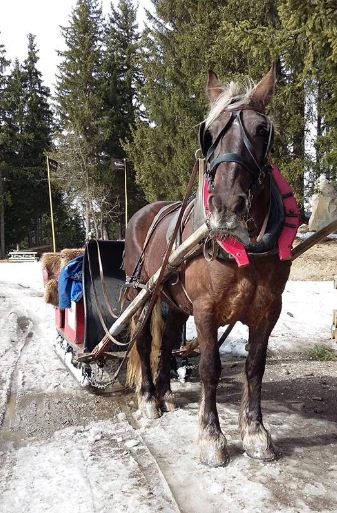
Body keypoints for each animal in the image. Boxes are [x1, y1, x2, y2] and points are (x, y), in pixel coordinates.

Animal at [122, 63, 292, 464]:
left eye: (262, 131)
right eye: (209, 134)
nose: (226, 206)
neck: (245, 248)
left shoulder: (269, 309)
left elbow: (255, 366)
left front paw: (256, 433)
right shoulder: (205, 309)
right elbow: (209, 367)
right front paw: (211, 437)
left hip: (170, 300)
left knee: (166, 340)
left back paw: (166, 393)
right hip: (142, 294)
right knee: (143, 341)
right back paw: (150, 398)